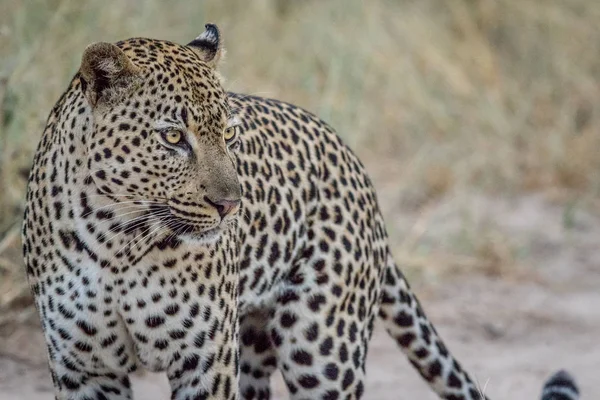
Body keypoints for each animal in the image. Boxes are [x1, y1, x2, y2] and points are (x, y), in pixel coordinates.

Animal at [23, 25, 576, 400]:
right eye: (173, 137)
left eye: (229, 133)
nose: (230, 205)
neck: (115, 237)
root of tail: (353, 159)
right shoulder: (83, 366)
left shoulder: (205, 361)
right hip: (254, 339)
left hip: (321, 347)